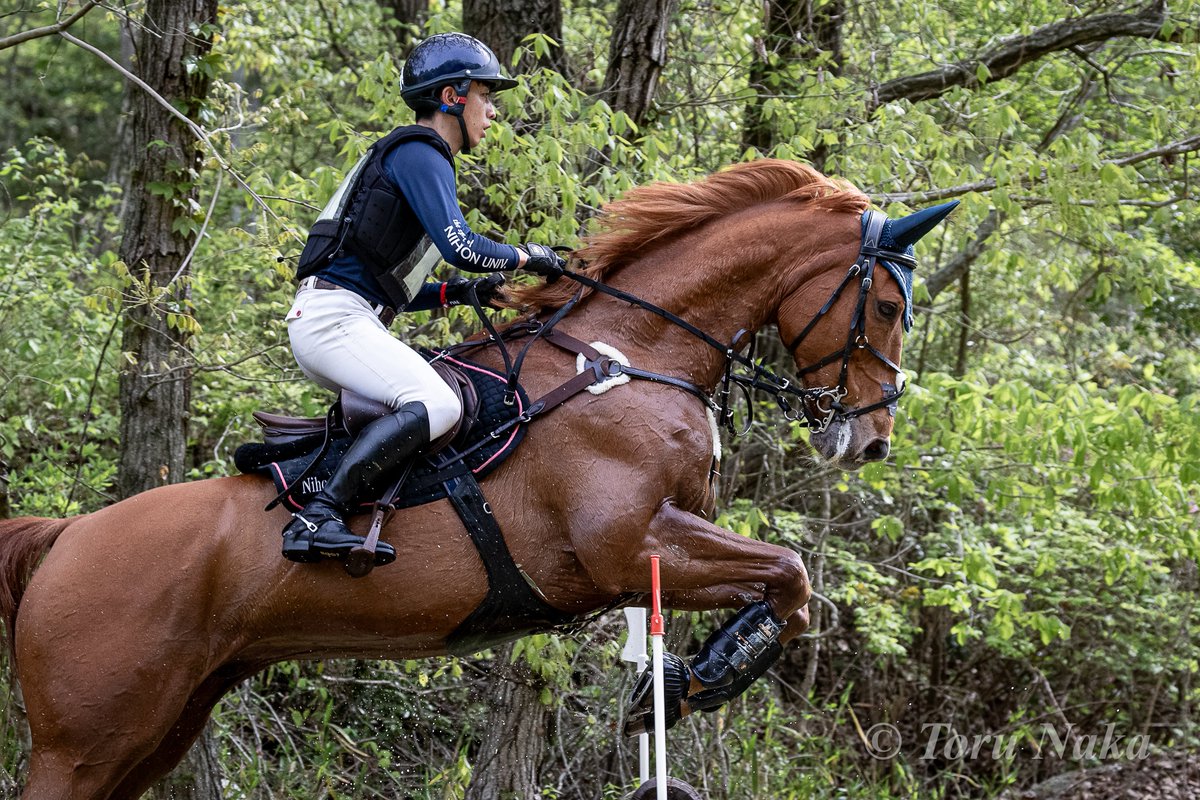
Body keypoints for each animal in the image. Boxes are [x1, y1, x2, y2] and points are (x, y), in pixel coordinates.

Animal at [0, 159, 955, 800]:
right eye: (886, 306)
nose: (872, 438)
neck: (631, 357)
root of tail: (66, 537)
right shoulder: (626, 545)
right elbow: (789, 574)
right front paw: (695, 682)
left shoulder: (658, 550)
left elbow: (784, 586)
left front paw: (679, 683)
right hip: (84, 742)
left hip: (158, 727)